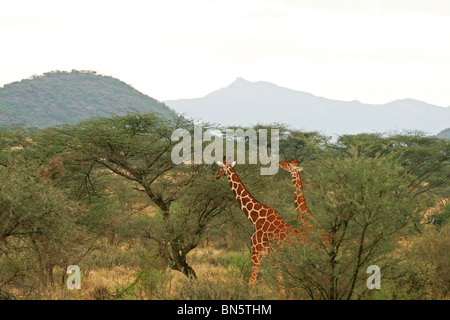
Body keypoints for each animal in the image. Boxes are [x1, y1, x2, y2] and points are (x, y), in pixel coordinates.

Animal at [215, 159, 306, 288]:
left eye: (219, 167)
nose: (216, 175)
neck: (255, 218)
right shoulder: (272, 257)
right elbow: (280, 280)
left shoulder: (256, 252)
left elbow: (252, 282)